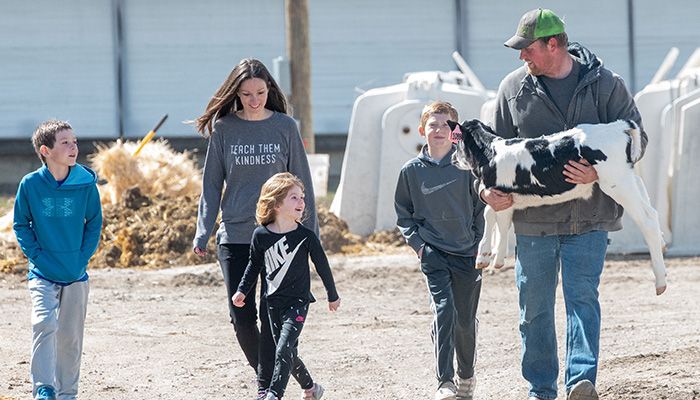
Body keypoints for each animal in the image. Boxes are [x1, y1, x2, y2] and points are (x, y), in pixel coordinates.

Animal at [448, 117, 668, 296]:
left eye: (457, 142)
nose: (452, 159)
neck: (491, 152)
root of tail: (616, 126)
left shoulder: (500, 193)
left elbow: (491, 216)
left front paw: (484, 257)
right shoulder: (503, 197)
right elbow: (498, 218)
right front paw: (496, 258)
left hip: (616, 182)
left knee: (647, 220)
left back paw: (660, 281)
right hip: (629, 179)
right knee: (651, 210)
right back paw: (663, 246)